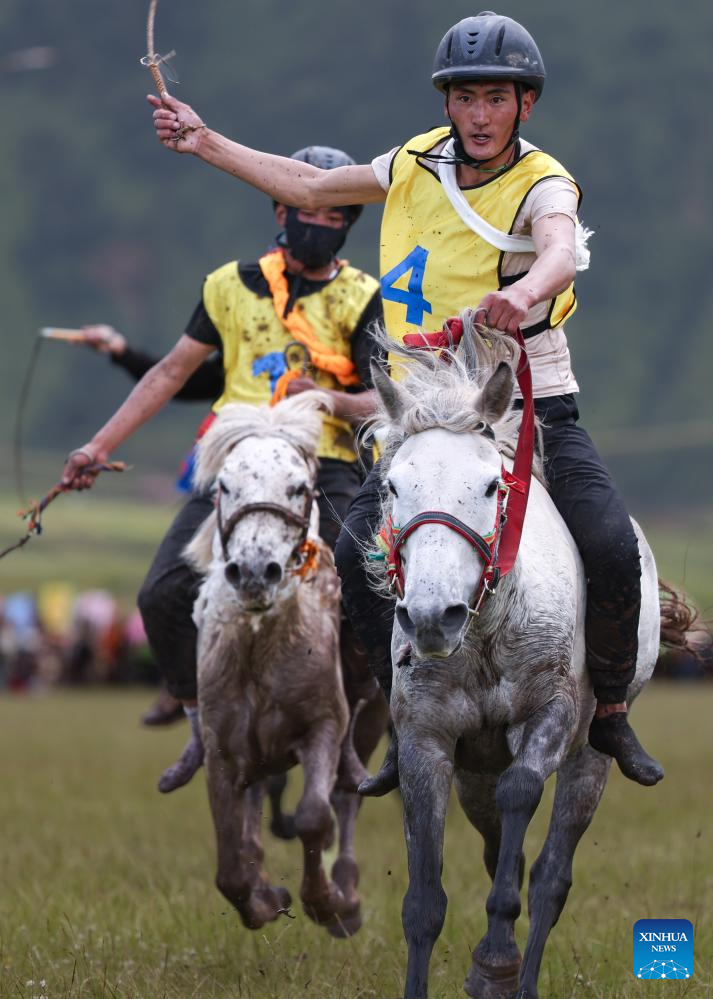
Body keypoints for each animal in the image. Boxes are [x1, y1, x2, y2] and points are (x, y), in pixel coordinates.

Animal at [368, 320, 684, 999]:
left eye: (492, 485)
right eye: (392, 486)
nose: (431, 617)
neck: (486, 631)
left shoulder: (549, 718)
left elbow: (523, 806)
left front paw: (494, 962)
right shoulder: (426, 742)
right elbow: (423, 901)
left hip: (591, 758)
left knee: (548, 877)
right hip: (473, 775)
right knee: (497, 852)